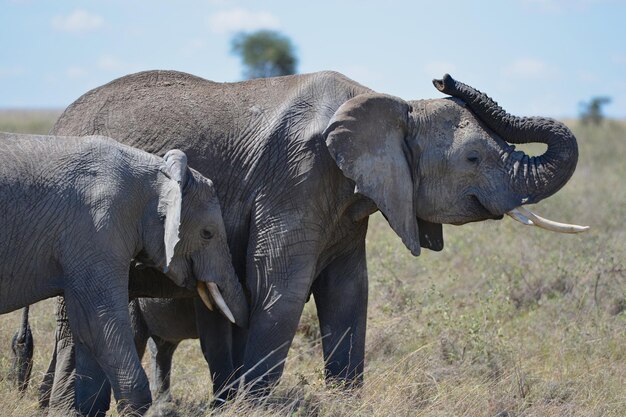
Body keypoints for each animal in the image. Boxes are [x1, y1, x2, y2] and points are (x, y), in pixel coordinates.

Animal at [0, 132, 247, 412]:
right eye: (207, 233)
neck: (158, 175)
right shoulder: (97, 229)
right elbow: (100, 321)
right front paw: (139, 409)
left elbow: (85, 326)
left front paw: (88, 410)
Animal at [44, 70, 576, 408]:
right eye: (473, 158)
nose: (443, 78)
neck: (384, 102)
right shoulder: (295, 178)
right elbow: (280, 288)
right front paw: (254, 407)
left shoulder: (348, 201)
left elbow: (348, 293)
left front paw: (345, 400)